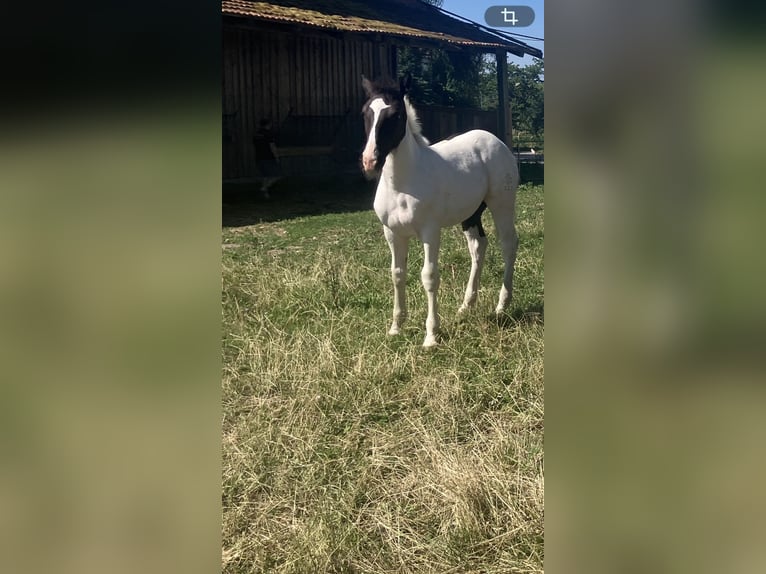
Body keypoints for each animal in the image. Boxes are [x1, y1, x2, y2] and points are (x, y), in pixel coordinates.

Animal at [360, 75, 520, 347]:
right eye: (365, 112)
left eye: (396, 115)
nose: (370, 161)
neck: (401, 184)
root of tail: (495, 140)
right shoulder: (392, 233)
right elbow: (397, 274)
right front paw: (395, 327)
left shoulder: (430, 232)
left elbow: (429, 276)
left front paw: (431, 336)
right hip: (471, 214)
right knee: (478, 246)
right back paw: (466, 306)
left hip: (502, 204)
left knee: (508, 244)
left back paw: (501, 305)